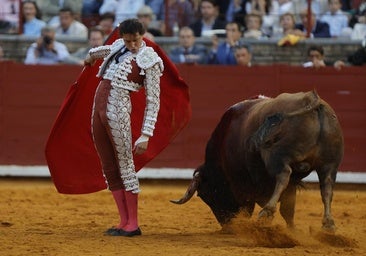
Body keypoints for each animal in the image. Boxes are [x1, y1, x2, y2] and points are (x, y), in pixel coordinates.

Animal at [172, 91, 344, 231]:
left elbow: (249, 206)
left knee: (283, 175)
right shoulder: (290, 184)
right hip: (329, 164)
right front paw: (292, 230)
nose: (227, 225)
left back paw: (267, 212)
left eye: (206, 195)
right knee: (327, 187)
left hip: (276, 157)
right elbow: (288, 209)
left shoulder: (242, 184)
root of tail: (312, 100)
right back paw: (328, 224)